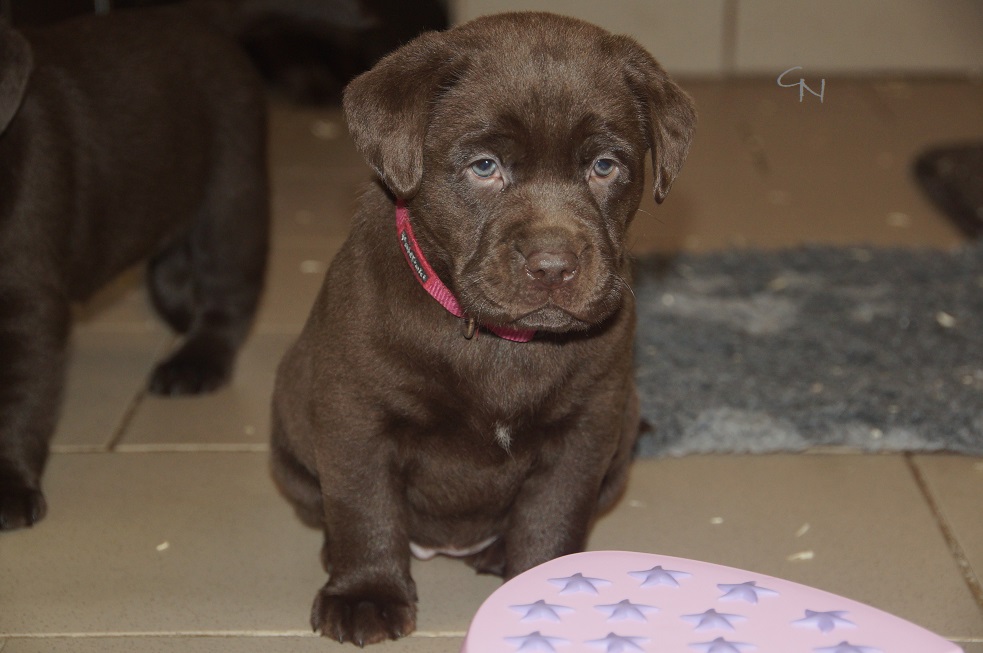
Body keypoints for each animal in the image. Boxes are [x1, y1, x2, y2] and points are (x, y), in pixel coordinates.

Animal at [0, 5, 269, 530]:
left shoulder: (27, 306)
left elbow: (17, 402)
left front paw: (9, 486)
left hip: (230, 200)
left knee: (228, 300)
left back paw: (196, 362)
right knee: (171, 275)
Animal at [270, 12, 696, 646]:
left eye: (604, 166)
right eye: (484, 167)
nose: (553, 265)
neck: (496, 341)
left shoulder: (588, 423)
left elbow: (552, 515)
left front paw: (549, 585)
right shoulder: (356, 415)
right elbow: (365, 508)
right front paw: (367, 594)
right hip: (291, 436)